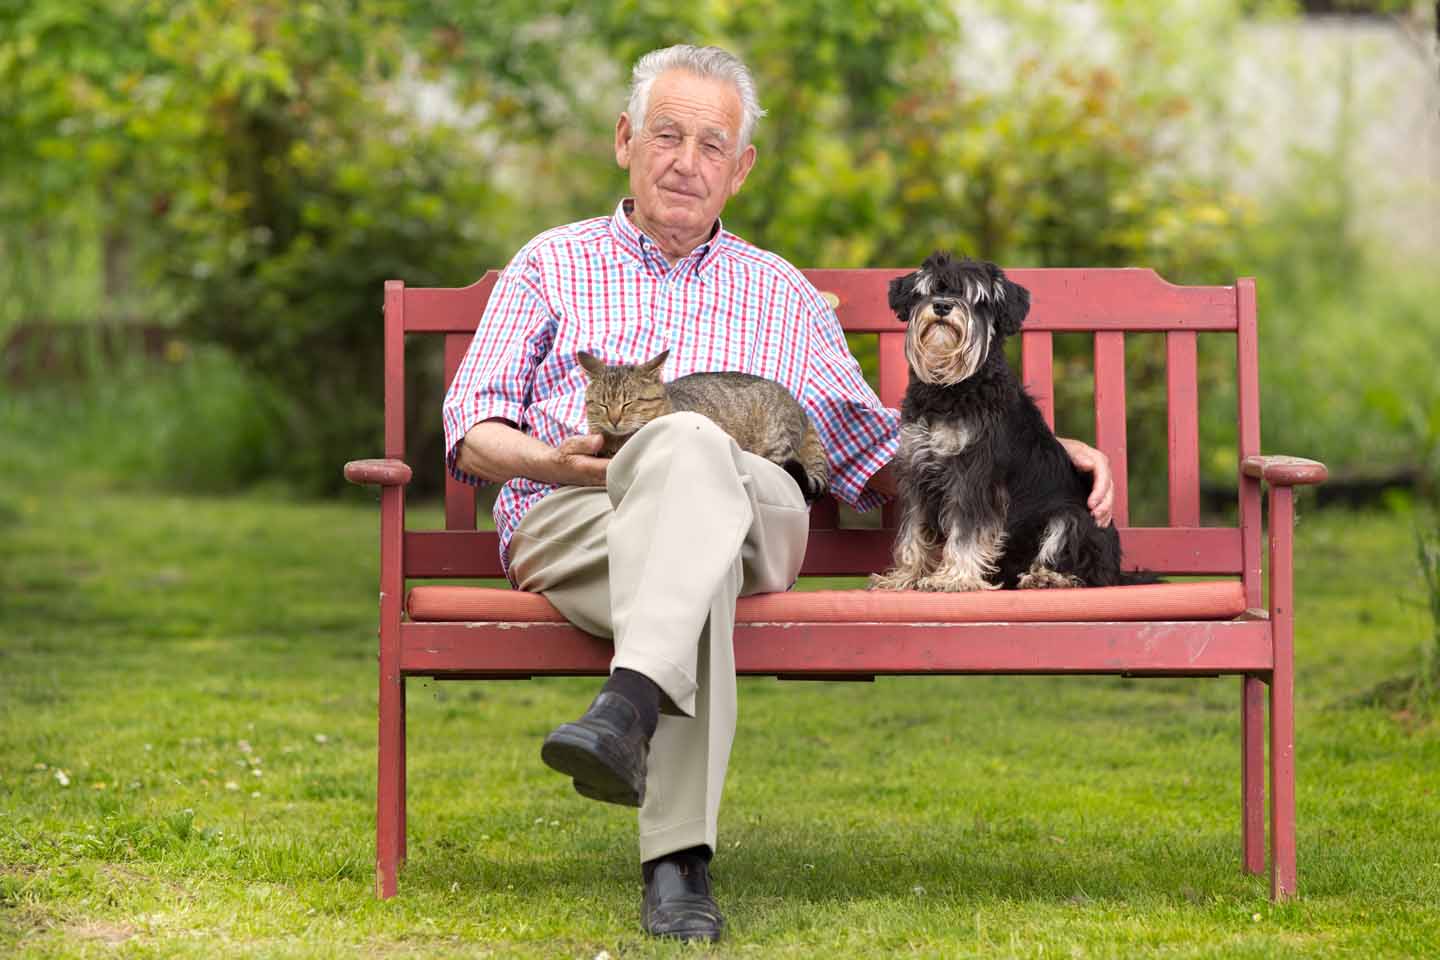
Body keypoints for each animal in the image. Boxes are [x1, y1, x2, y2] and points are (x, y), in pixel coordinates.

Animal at [869, 251, 1128, 590]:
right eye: (927, 291)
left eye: (977, 299)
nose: (942, 306)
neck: (951, 389)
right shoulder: (917, 471)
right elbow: (913, 531)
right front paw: (906, 575)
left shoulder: (974, 474)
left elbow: (965, 532)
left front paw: (953, 578)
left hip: (1072, 517)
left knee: (1082, 568)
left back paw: (1047, 578)